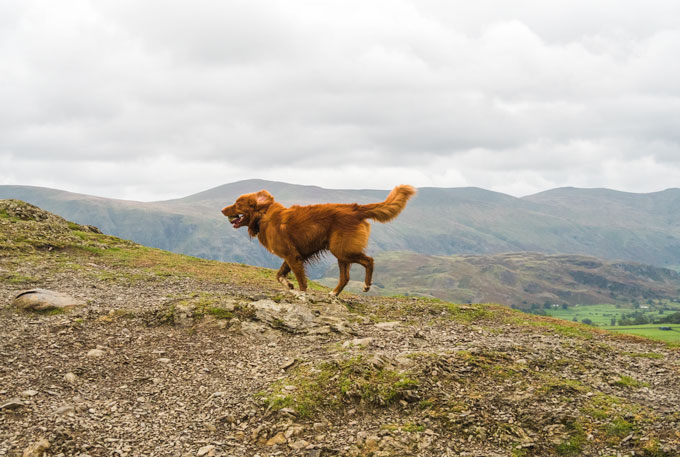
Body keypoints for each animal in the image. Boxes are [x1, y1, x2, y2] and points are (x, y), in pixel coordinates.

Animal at [223, 185, 414, 296]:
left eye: (237, 204)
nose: (222, 210)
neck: (263, 216)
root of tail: (355, 209)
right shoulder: (292, 255)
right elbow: (279, 275)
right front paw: (288, 284)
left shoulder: (292, 256)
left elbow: (301, 281)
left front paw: (301, 292)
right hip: (341, 253)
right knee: (345, 277)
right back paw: (334, 294)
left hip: (342, 250)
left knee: (369, 260)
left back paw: (366, 285)